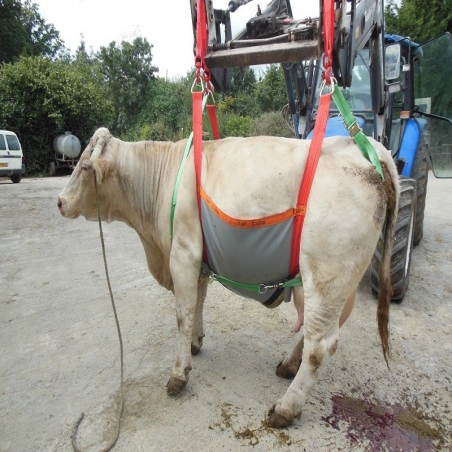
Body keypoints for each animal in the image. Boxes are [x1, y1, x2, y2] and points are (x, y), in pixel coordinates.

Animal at [57, 127, 400, 428]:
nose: (59, 201)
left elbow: (182, 313)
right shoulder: (198, 260)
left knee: (320, 347)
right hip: (338, 286)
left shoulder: (182, 254)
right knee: (320, 333)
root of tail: (368, 149)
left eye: (84, 165)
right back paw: (289, 366)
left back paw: (285, 409)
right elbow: (198, 303)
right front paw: (195, 343)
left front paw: (178, 374)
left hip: (326, 274)